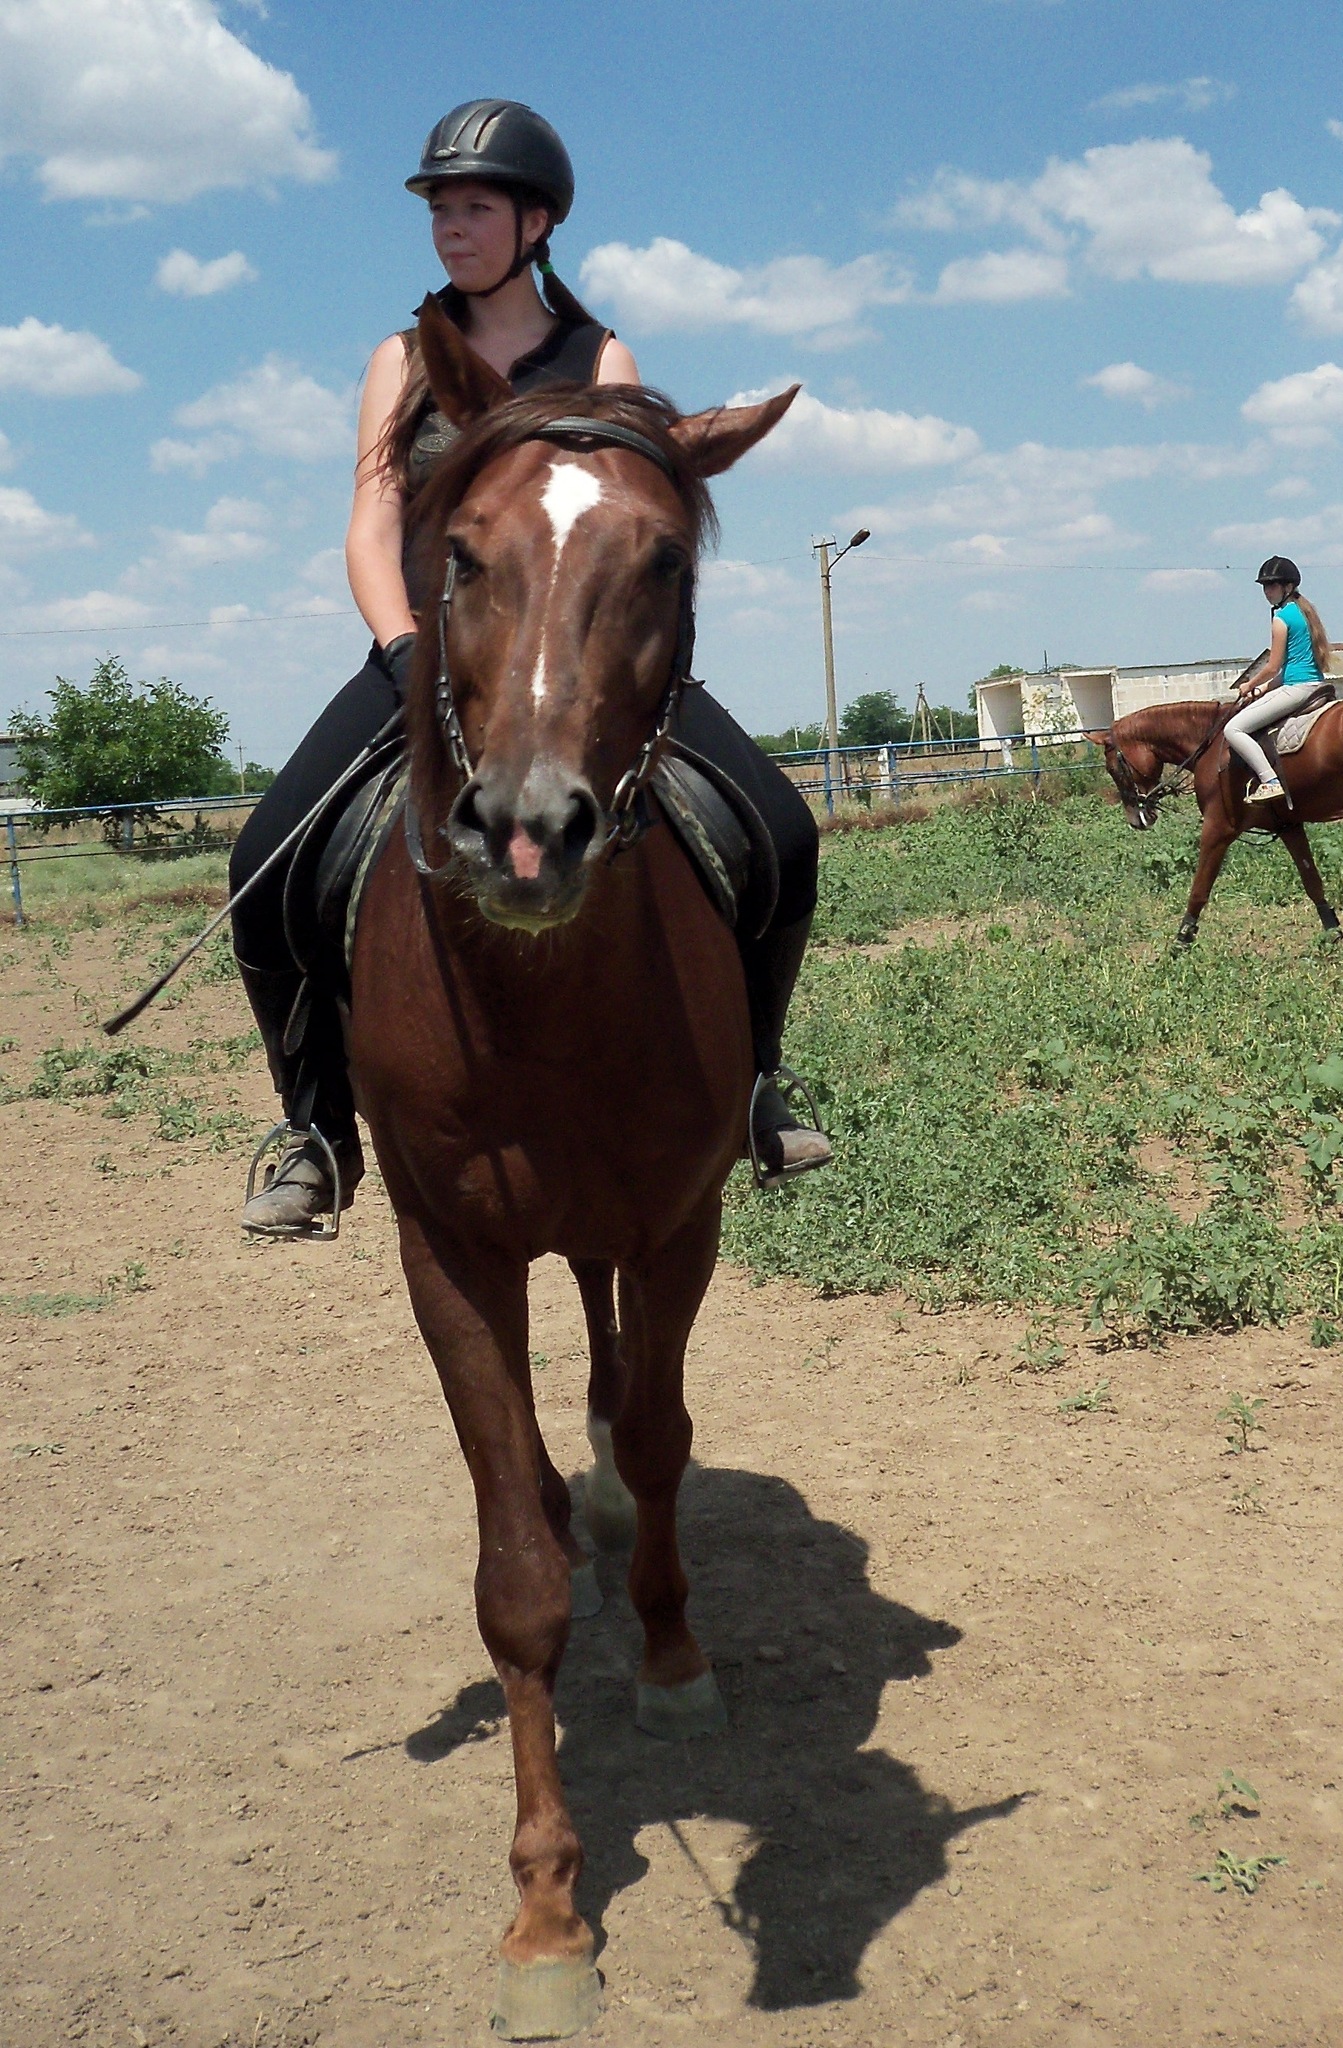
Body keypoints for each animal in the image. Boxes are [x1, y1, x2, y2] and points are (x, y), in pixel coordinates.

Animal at [348, 298, 799, 2039]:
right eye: (460, 554)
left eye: (661, 561)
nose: (529, 830)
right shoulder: (448, 1254)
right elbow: (513, 1580)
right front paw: (546, 1911)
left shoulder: (677, 1218)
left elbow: (662, 1440)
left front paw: (669, 1661)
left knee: (614, 1396)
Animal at [1094, 693, 1343, 947]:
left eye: (1113, 769)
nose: (1135, 819)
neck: (1210, 743)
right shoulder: (1288, 826)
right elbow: (1312, 880)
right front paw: (1332, 932)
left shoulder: (1217, 829)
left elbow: (1199, 889)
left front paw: (1182, 939)